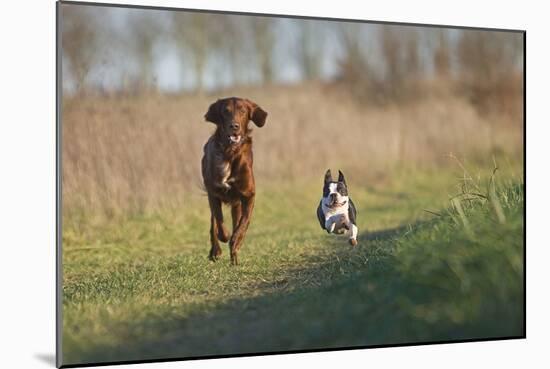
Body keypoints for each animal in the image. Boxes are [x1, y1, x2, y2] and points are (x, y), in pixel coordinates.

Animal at [203, 97, 270, 264]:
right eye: (225, 111)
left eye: (243, 111)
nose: (234, 126)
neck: (230, 153)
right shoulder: (213, 193)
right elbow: (219, 222)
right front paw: (225, 237)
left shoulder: (248, 195)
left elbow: (243, 223)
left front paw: (236, 242)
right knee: (213, 223)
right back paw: (216, 251)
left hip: (236, 203)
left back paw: (234, 257)